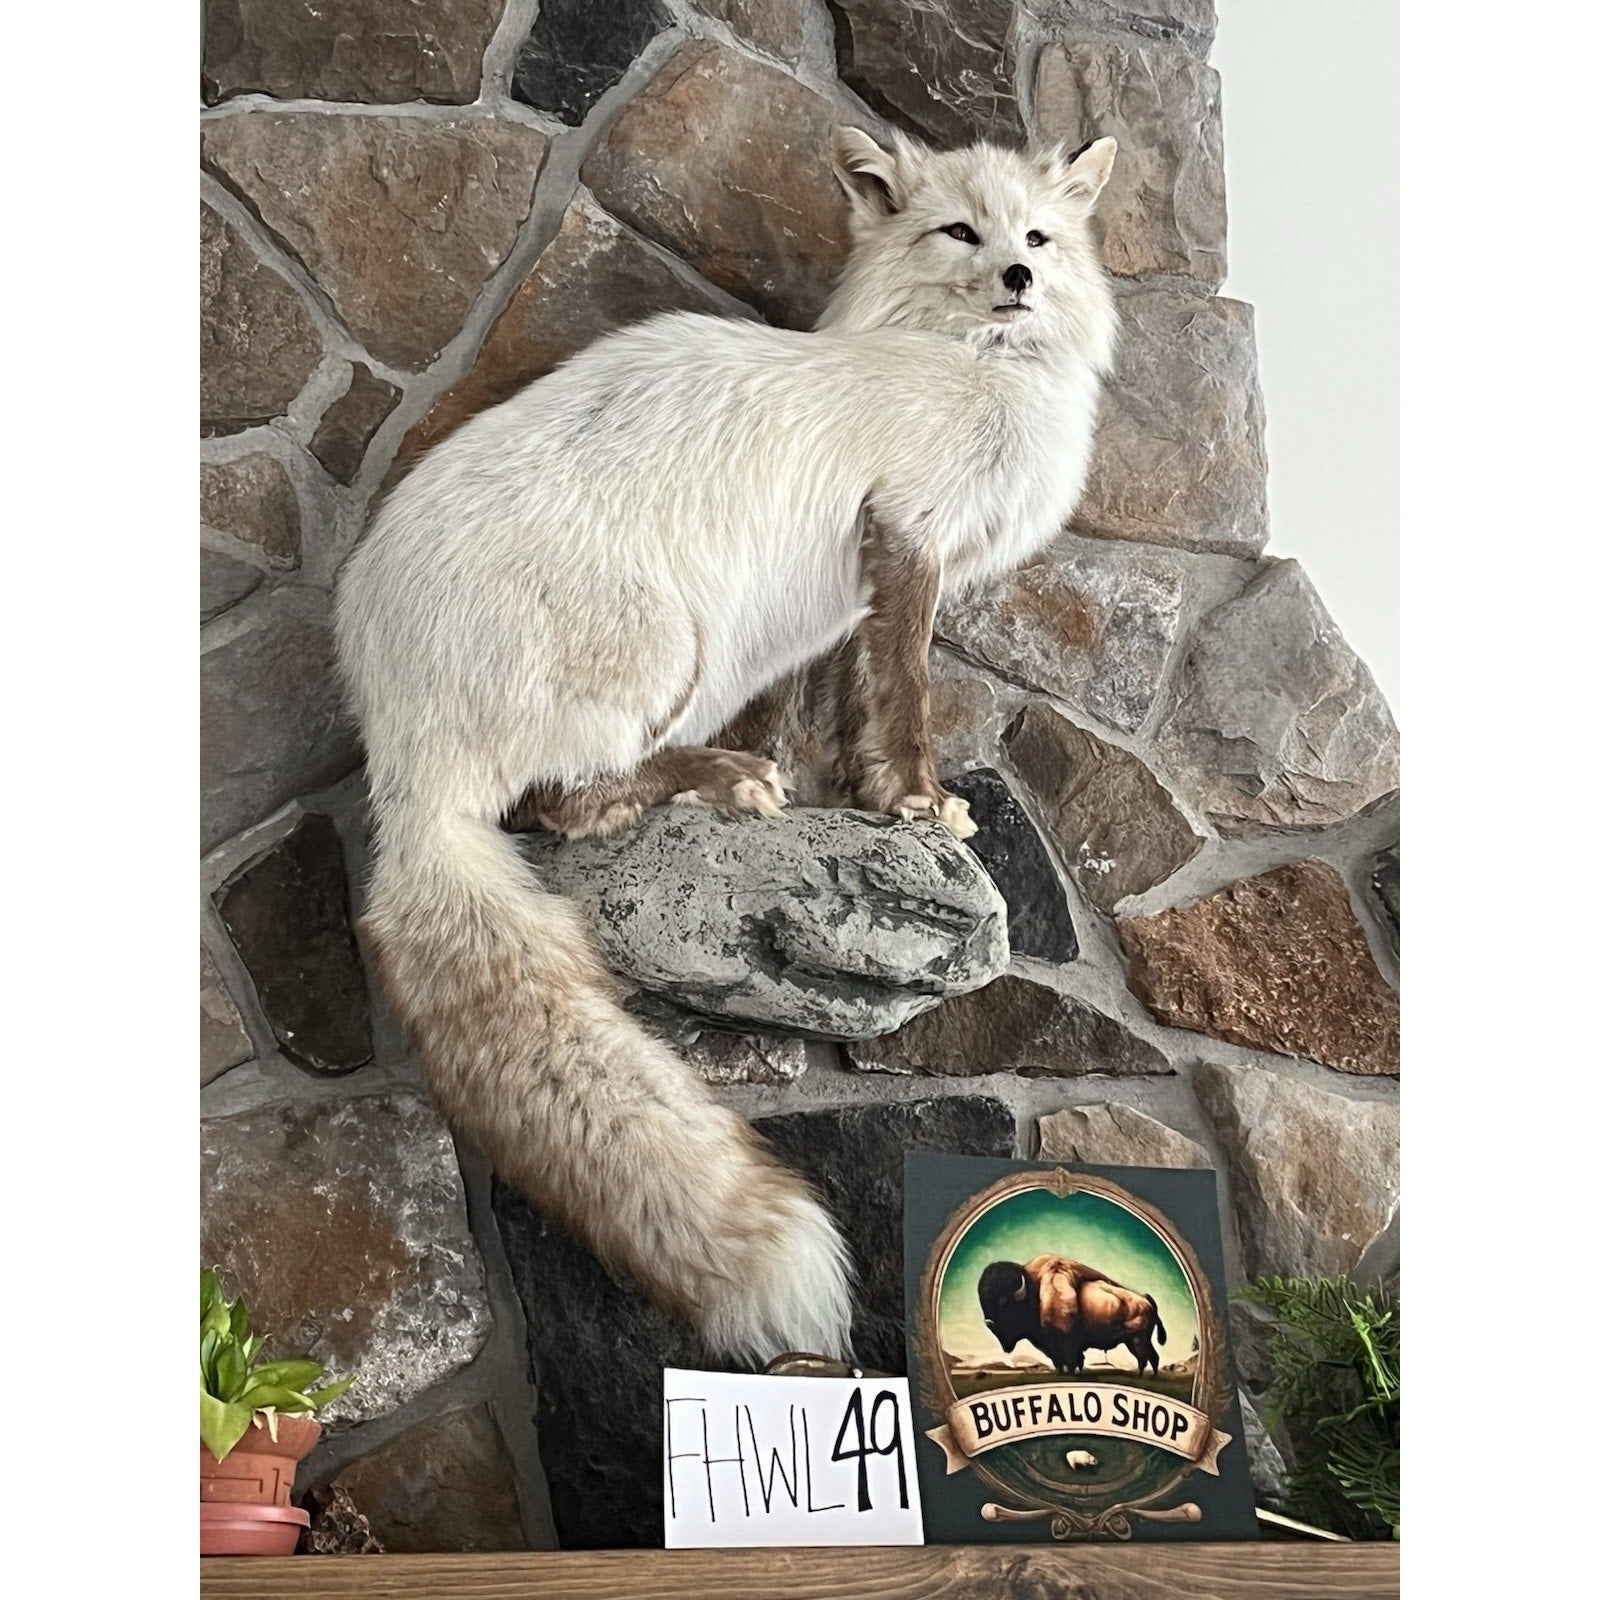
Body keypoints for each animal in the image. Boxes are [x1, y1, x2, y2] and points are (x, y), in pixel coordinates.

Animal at [334, 127, 1119, 1364]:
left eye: (1038, 235)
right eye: (960, 231)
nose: (1018, 280)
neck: (970, 370)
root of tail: (398, 747)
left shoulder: (843, 593)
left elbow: (839, 705)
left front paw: (854, 794)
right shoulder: (907, 531)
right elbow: (905, 693)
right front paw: (918, 800)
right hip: (665, 648)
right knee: (567, 802)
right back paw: (719, 781)